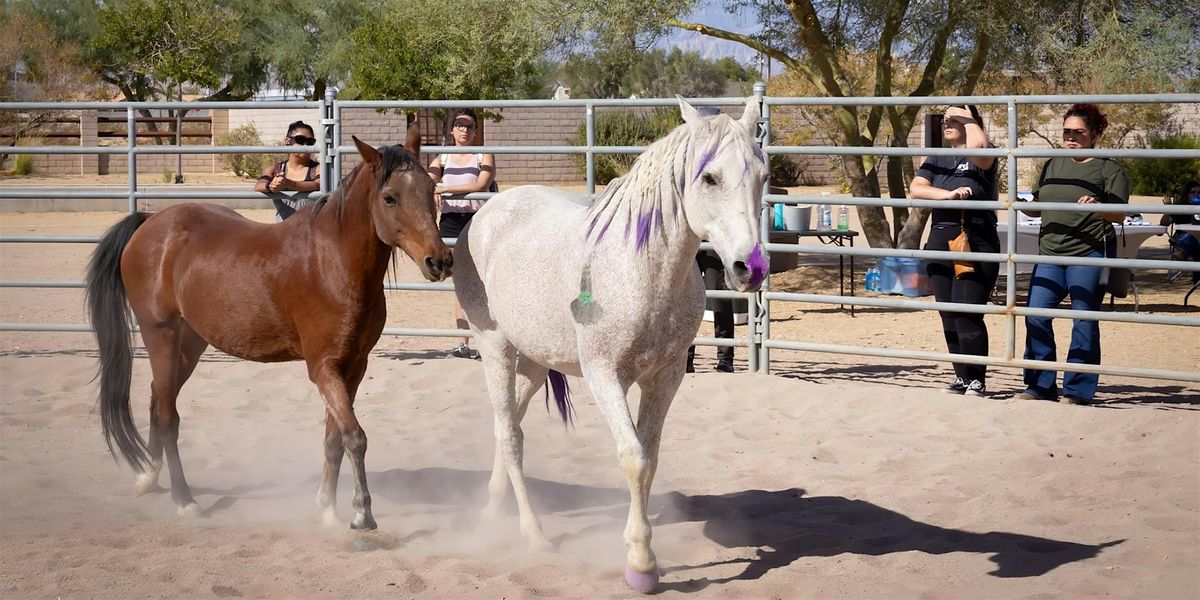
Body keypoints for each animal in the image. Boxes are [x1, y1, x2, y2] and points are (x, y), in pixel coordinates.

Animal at [84, 132, 451, 530]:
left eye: (431, 188)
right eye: (390, 197)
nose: (439, 260)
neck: (333, 262)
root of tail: (151, 223)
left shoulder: (353, 367)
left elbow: (334, 438)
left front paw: (326, 506)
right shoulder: (323, 367)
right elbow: (355, 437)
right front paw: (361, 513)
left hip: (189, 345)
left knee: (156, 400)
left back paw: (149, 477)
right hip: (161, 337)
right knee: (168, 418)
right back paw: (184, 500)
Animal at [451, 96, 768, 592]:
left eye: (763, 176)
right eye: (710, 177)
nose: (749, 268)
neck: (643, 269)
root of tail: (484, 215)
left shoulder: (666, 377)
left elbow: (650, 458)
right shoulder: (605, 376)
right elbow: (633, 458)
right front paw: (641, 564)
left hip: (535, 361)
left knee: (510, 425)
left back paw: (491, 510)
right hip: (495, 348)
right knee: (510, 434)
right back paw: (533, 534)